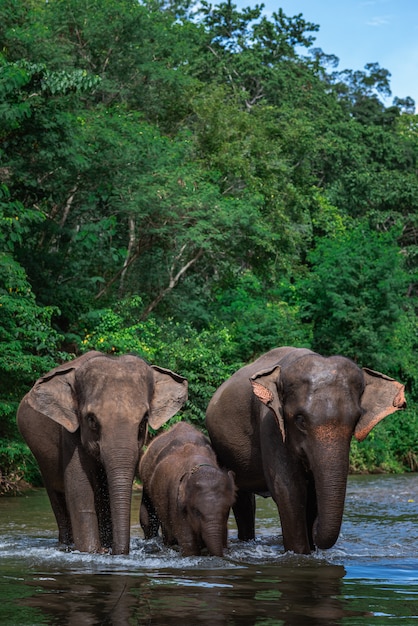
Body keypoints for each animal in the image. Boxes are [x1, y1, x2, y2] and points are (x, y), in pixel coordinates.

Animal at [15, 348, 186, 552]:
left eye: (144, 419)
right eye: (91, 420)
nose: (117, 554)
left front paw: (105, 549)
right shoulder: (70, 433)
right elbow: (79, 491)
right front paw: (93, 551)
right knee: (57, 495)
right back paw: (66, 545)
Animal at [206, 346, 404, 556]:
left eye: (355, 420)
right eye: (300, 420)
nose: (315, 529)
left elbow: (312, 492)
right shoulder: (270, 424)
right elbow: (289, 489)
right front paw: (301, 553)